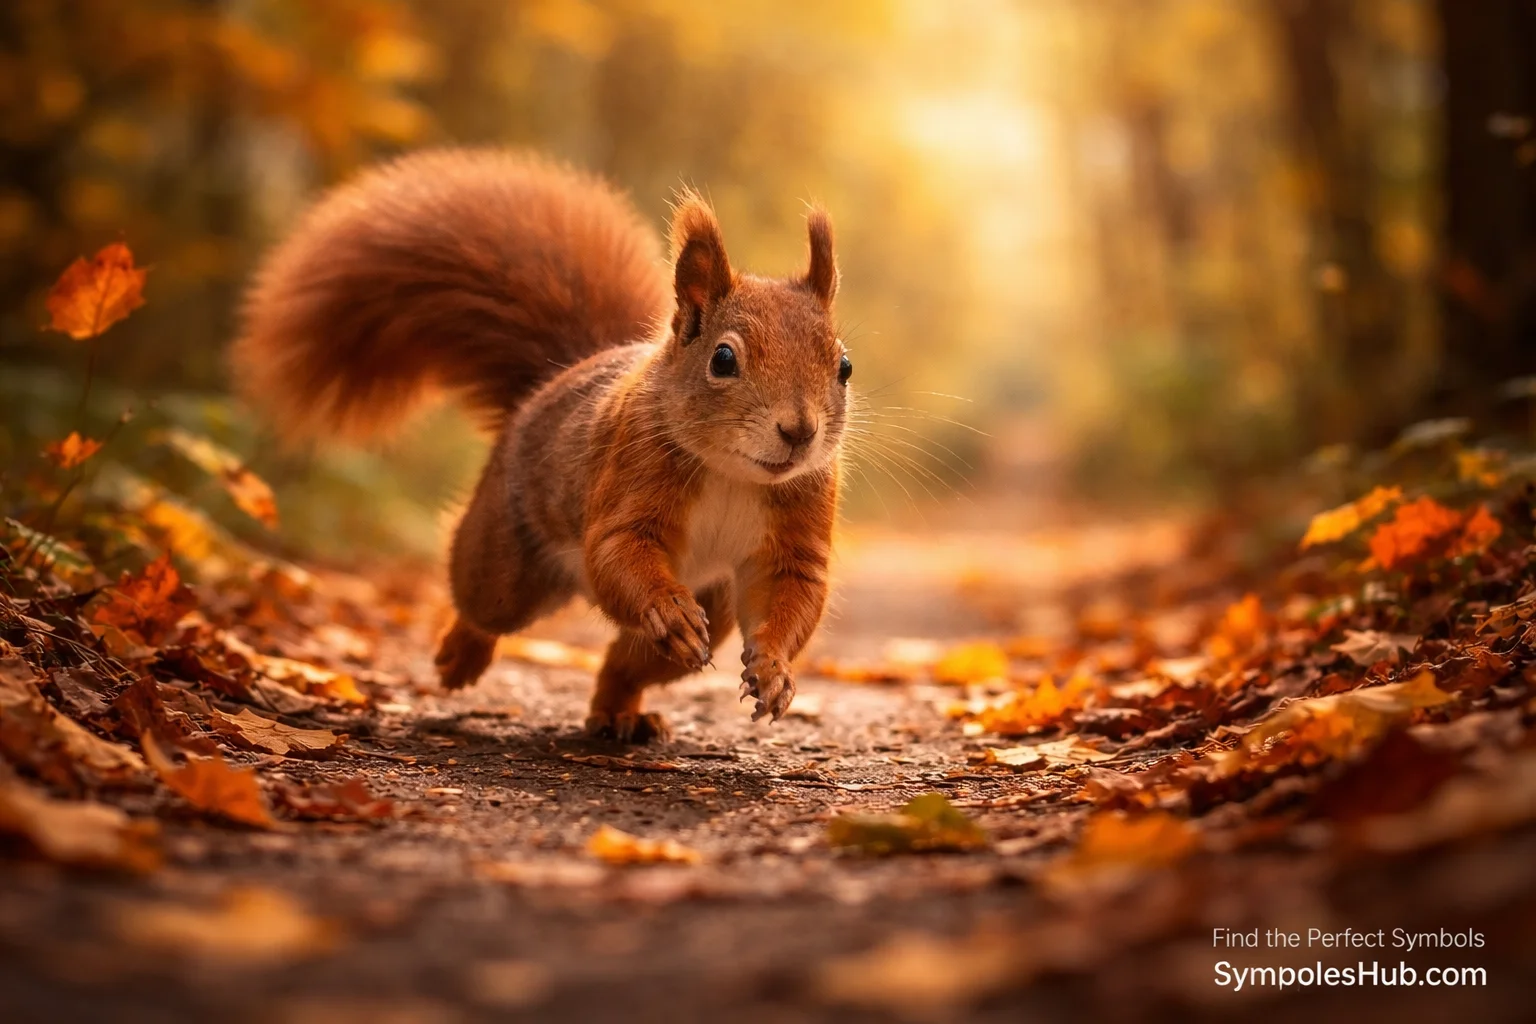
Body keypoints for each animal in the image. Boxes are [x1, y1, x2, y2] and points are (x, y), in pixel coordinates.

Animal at [233, 148, 850, 742]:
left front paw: (774, 670)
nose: (800, 431)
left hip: (715, 606)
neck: (733, 473)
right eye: (723, 359)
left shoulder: (799, 526)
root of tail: (547, 385)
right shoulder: (630, 476)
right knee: (483, 603)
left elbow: (793, 594)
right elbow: (618, 551)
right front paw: (668, 609)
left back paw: (621, 716)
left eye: (843, 365)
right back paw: (461, 655)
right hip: (503, 559)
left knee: (629, 666)